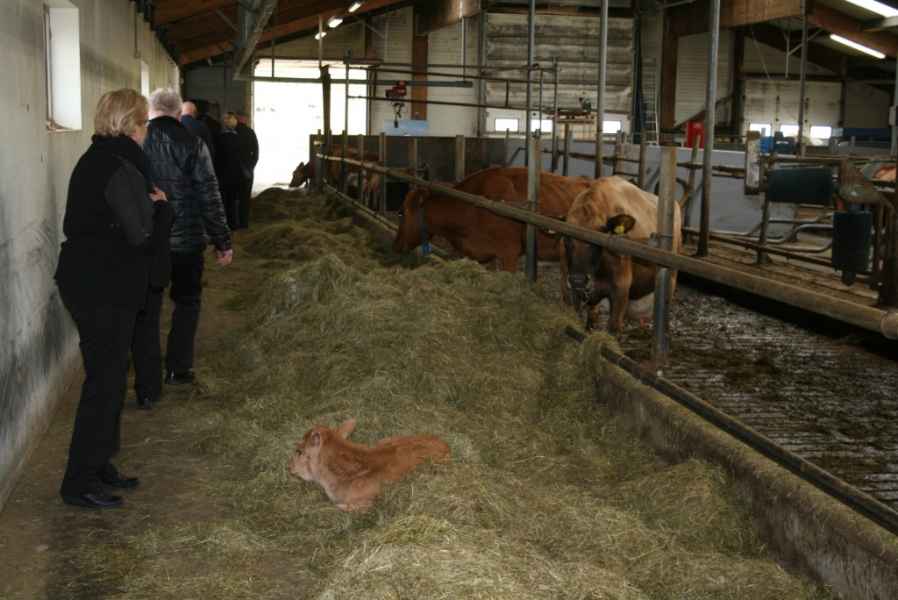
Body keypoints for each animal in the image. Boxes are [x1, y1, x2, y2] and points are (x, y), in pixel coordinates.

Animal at [559, 176, 682, 333]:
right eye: (566, 237)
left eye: (598, 238)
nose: (578, 280)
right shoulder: (567, 286)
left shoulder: (621, 289)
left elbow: (613, 327)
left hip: (670, 280)